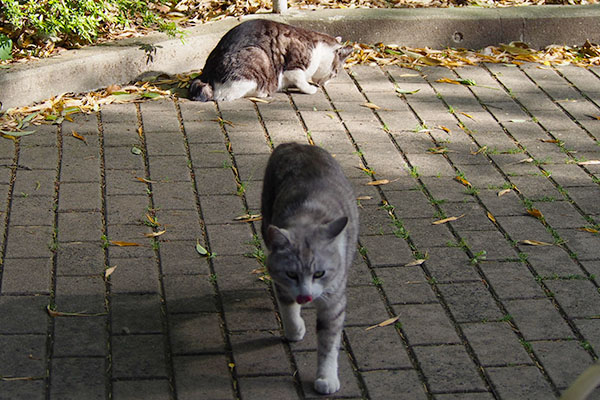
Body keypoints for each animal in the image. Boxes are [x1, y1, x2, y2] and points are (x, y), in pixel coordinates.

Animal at [190, 19, 354, 102]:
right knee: (224, 95)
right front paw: (310, 89)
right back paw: (263, 92)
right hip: (257, 57)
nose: (326, 83)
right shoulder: (294, 65)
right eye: (335, 73)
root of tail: (206, 72)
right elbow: (300, 80)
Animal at [260, 141, 358, 394]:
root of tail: (295, 144)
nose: (305, 297)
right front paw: (295, 331)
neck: (307, 217)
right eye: (292, 274)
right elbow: (288, 310)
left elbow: (328, 342)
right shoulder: (282, 283)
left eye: (319, 273)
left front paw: (326, 378)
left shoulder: (334, 301)